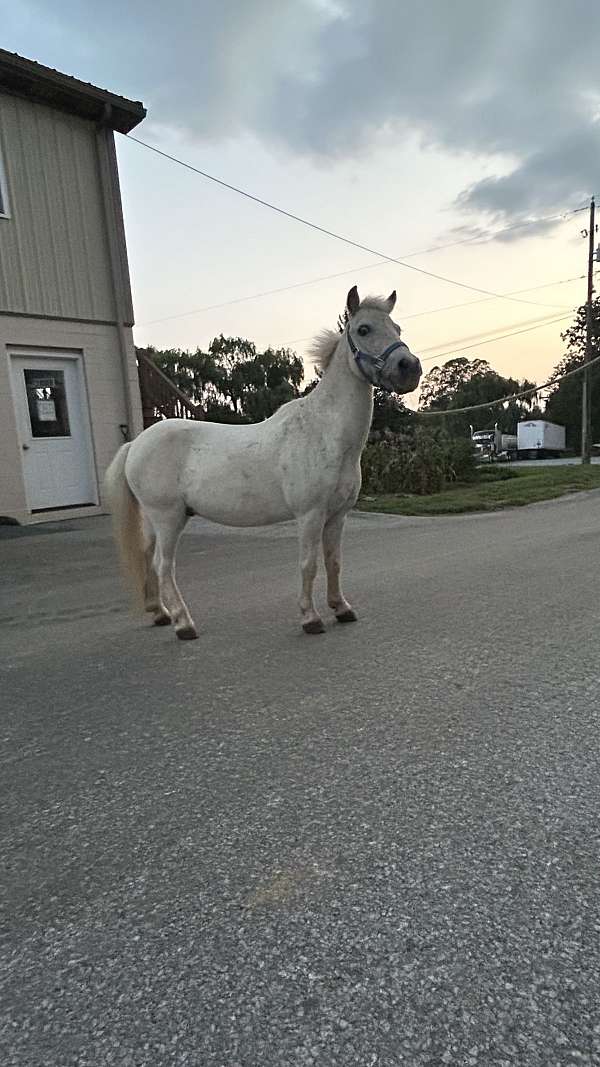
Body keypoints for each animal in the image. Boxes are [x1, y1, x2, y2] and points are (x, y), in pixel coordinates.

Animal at [104, 285, 420, 640]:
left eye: (397, 329)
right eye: (364, 329)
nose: (409, 368)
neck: (324, 431)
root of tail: (135, 443)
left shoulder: (337, 516)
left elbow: (334, 562)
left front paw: (341, 608)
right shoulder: (310, 515)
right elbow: (309, 565)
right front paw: (310, 618)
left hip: (155, 519)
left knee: (147, 557)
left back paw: (161, 613)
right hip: (168, 518)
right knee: (163, 566)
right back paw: (184, 624)